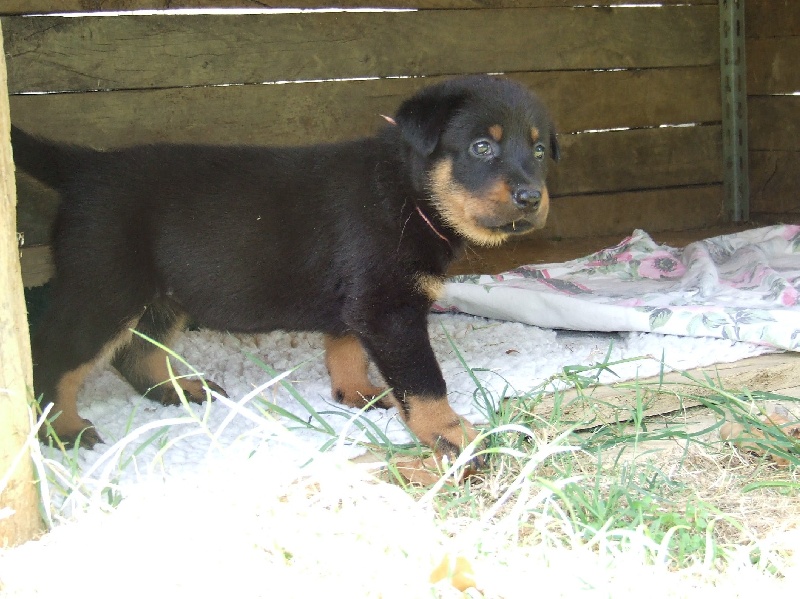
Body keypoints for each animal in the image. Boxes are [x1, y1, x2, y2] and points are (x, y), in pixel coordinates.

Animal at [15, 75, 560, 460]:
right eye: (481, 147)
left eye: (538, 149)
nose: (532, 197)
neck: (408, 192)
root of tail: (85, 167)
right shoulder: (389, 307)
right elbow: (424, 381)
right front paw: (453, 435)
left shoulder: (359, 299)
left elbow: (346, 348)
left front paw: (358, 393)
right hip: (104, 287)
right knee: (54, 357)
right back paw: (62, 429)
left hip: (163, 291)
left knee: (137, 351)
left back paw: (178, 390)